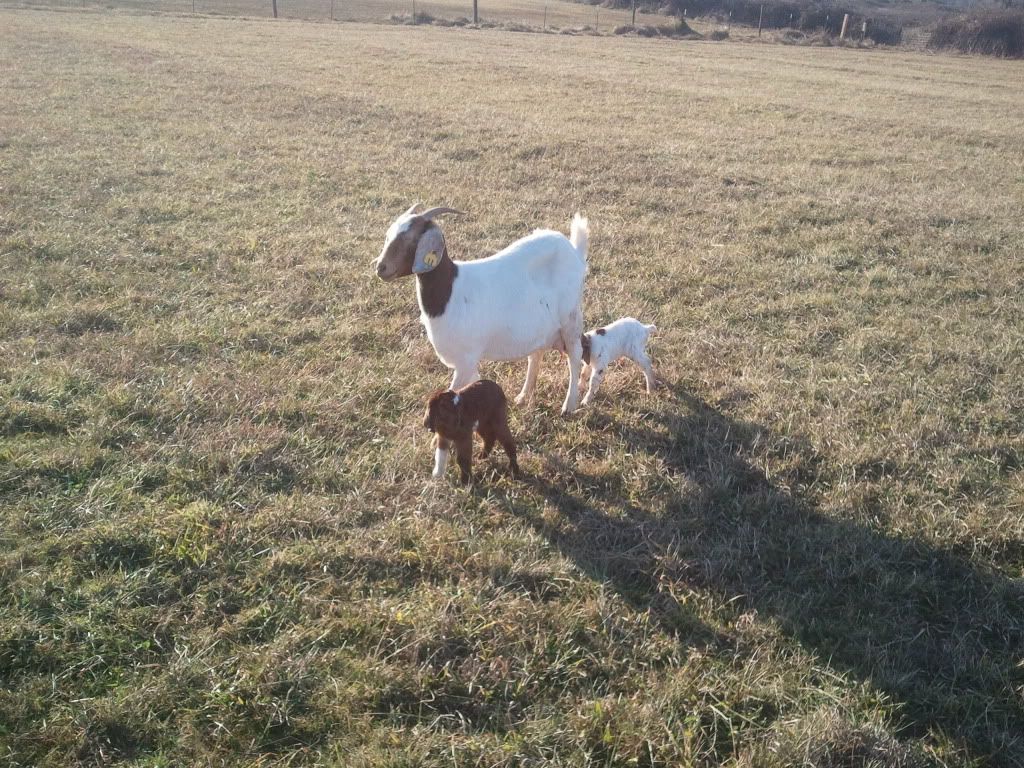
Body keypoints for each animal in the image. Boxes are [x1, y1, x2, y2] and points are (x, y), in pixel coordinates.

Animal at [374, 204, 590, 416]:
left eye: (411, 239)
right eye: (389, 235)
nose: (381, 267)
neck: (451, 291)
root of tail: (574, 251)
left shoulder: (466, 361)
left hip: (570, 318)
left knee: (575, 355)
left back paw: (569, 405)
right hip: (540, 326)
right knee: (536, 354)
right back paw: (523, 396)